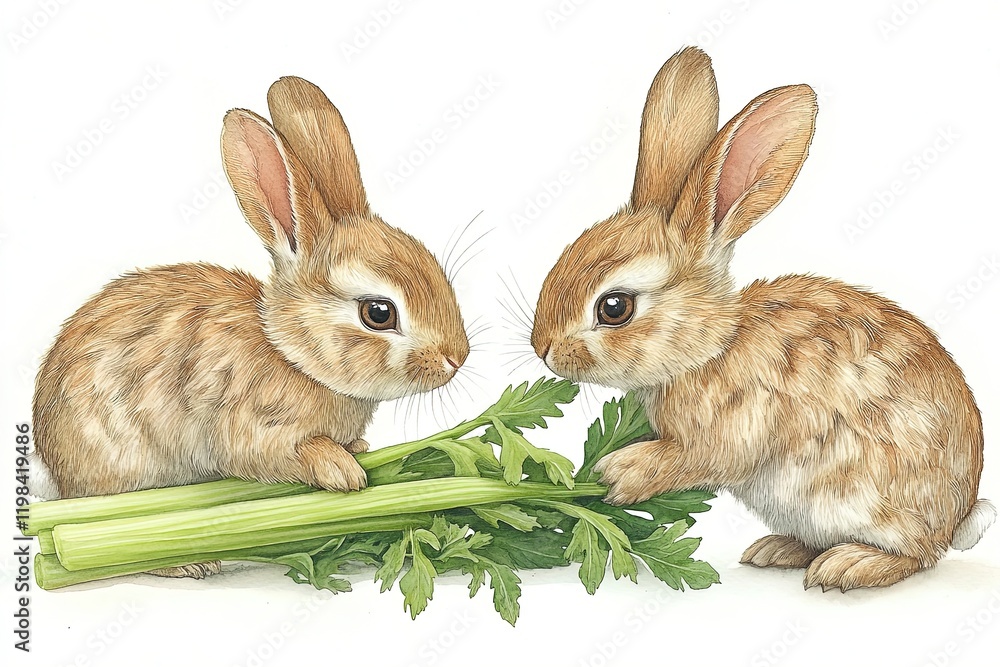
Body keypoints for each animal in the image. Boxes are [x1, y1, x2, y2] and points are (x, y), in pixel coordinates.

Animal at [32, 77, 469, 578]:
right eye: (379, 313)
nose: (457, 358)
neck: (292, 355)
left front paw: (357, 449)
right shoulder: (251, 425)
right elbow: (276, 454)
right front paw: (343, 471)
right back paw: (187, 565)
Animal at [530, 46, 995, 591]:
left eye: (614, 307)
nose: (543, 349)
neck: (710, 349)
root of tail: (960, 512)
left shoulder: (736, 426)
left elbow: (696, 458)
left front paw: (617, 472)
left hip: (869, 500)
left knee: (918, 555)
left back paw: (847, 566)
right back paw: (777, 550)